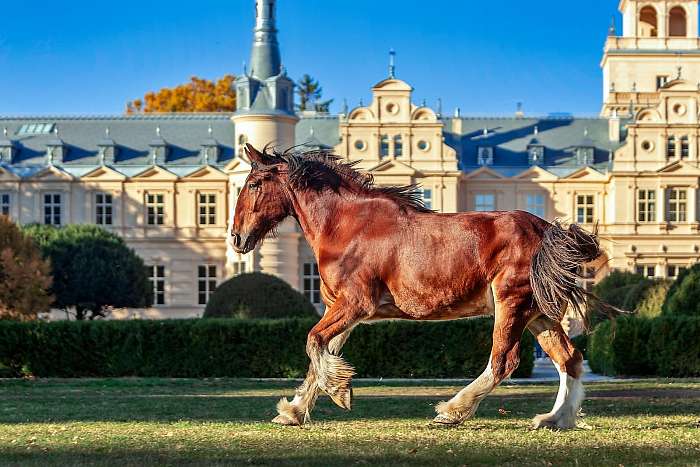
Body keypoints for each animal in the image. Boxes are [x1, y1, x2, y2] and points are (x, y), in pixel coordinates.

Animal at [231, 144, 612, 432]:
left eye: (254, 184)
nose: (236, 238)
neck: (346, 226)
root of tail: (548, 230)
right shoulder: (342, 311)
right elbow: (320, 354)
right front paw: (294, 411)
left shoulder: (355, 304)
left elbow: (313, 342)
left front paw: (340, 392)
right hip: (537, 314)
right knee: (569, 358)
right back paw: (555, 419)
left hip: (512, 304)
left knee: (504, 360)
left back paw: (452, 410)